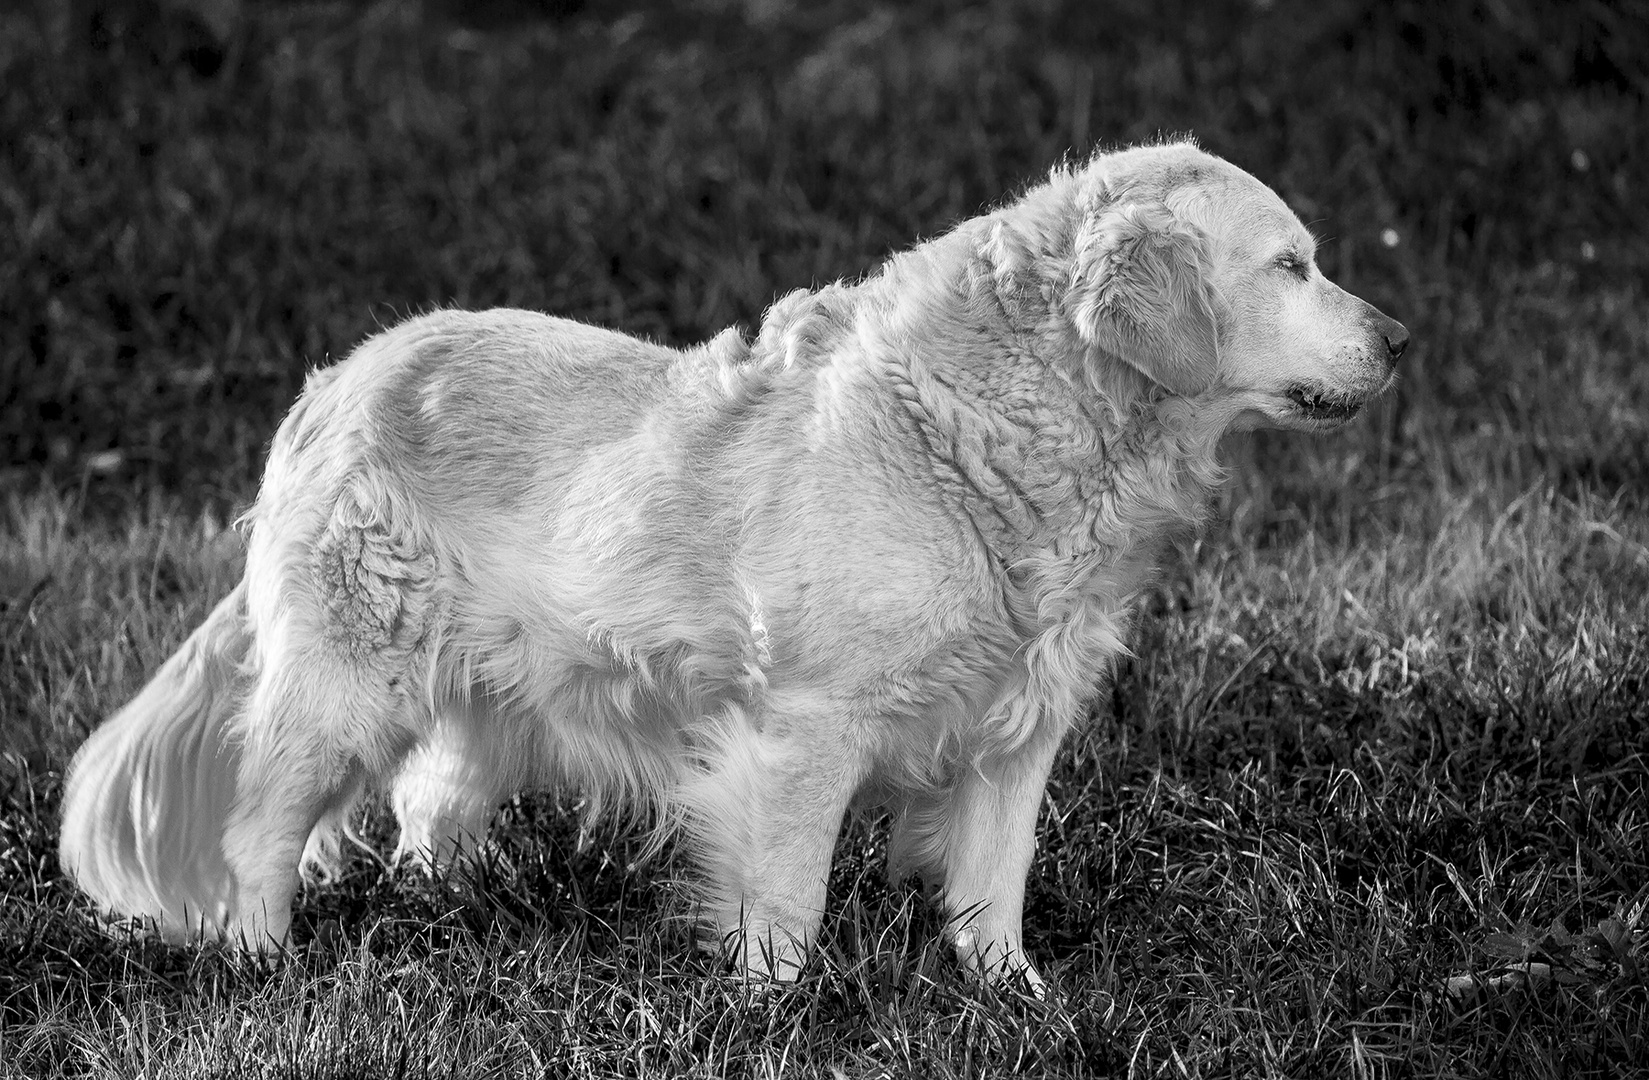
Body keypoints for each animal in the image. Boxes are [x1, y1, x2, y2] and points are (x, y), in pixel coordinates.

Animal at [61, 141, 1404, 989]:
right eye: (1290, 265)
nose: (1400, 338)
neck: (987, 425)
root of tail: (333, 381)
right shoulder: (806, 724)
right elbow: (789, 895)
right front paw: (775, 1005)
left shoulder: (1017, 727)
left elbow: (993, 882)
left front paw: (1012, 997)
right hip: (346, 682)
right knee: (258, 823)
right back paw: (260, 957)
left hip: (490, 691)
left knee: (428, 804)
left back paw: (454, 904)